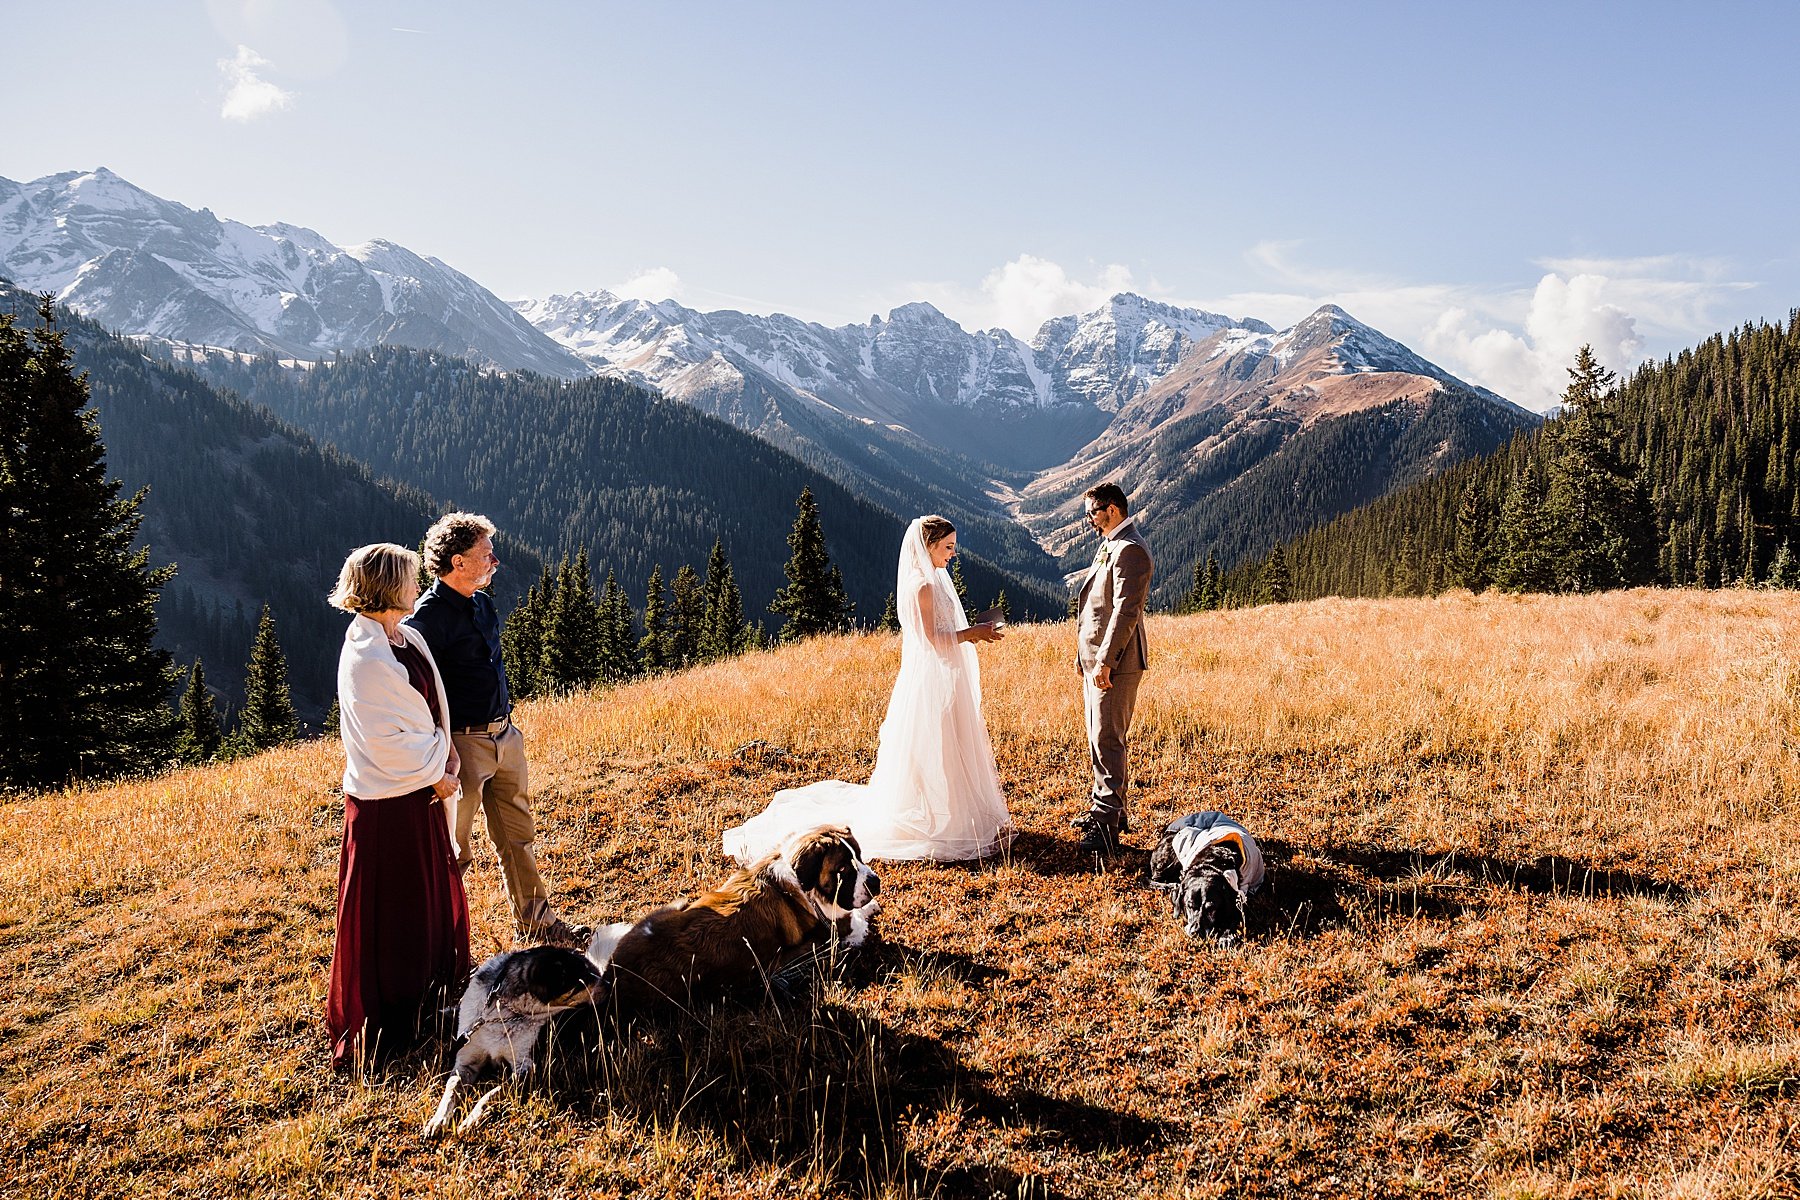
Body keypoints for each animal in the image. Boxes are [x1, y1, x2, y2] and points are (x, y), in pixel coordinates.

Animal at [586, 827, 882, 1014]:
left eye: (860, 856)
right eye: (842, 870)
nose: (874, 882)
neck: (801, 883)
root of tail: (613, 976)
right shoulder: (837, 928)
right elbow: (857, 918)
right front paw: (870, 908)